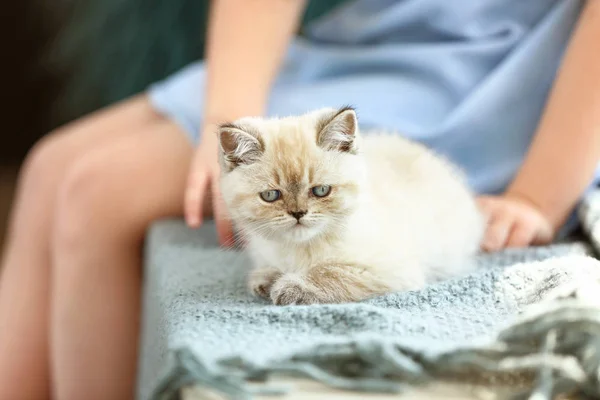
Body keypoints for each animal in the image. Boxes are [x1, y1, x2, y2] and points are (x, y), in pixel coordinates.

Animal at [218, 108, 486, 304]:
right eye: (271, 195)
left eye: (321, 191)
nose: (298, 213)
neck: (300, 249)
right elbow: (271, 268)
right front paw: (267, 277)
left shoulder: (393, 271)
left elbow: (332, 272)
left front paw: (290, 286)